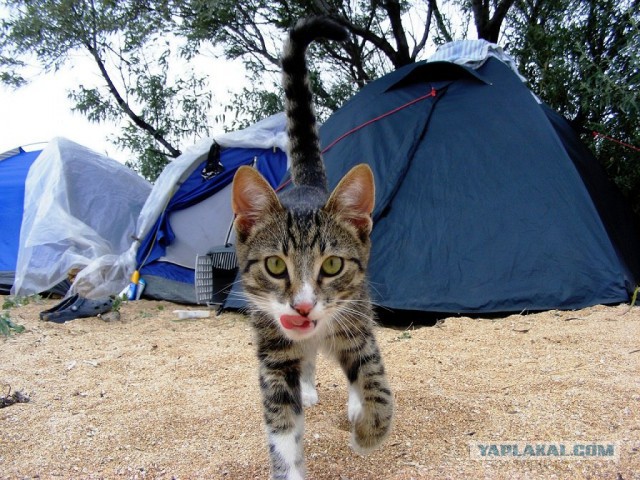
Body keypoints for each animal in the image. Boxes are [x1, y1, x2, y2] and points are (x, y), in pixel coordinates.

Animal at [229, 16, 390, 478]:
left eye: (333, 265)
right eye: (275, 266)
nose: (301, 306)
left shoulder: (356, 325)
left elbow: (375, 384)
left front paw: (367, 431)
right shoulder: (273, 354)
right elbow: (281, 425)